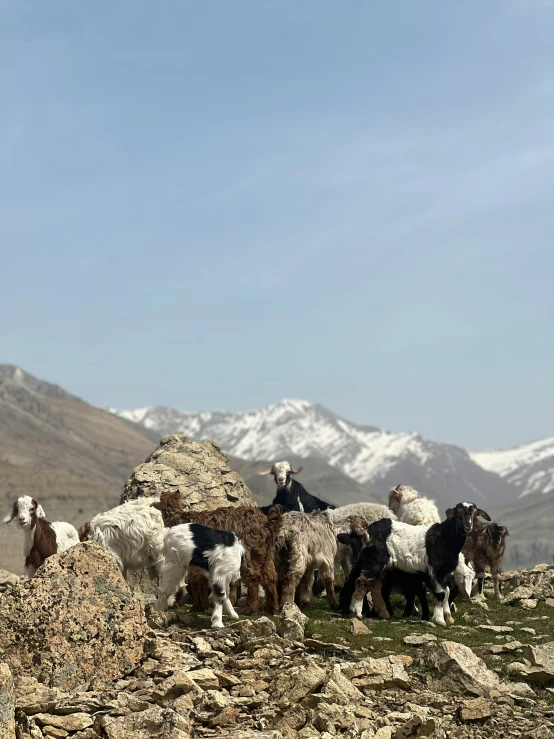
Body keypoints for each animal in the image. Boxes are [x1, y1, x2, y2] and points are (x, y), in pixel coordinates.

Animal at [151, 492, 280, 620]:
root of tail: (266, 523)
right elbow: (201, 580)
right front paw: (201, 605)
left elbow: (195, 581)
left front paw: (197, 606)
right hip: (264, 555)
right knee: (270, 577)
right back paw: (271, 608)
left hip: (248, 554)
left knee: (254, 578)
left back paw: (249, 609)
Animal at [336, 500, 488, 628]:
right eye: (458, 512)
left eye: (475, 513)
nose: (468, 525)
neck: (445, 539)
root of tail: (368, 532)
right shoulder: (435, 571)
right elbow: (441, 593)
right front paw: (439, 620)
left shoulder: (444, 573)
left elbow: (447, 591)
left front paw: (448, 618)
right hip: (375, 561)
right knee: (362, 581)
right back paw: (357, 613)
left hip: (379, 565)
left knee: (374, 586)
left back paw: (383, 613)